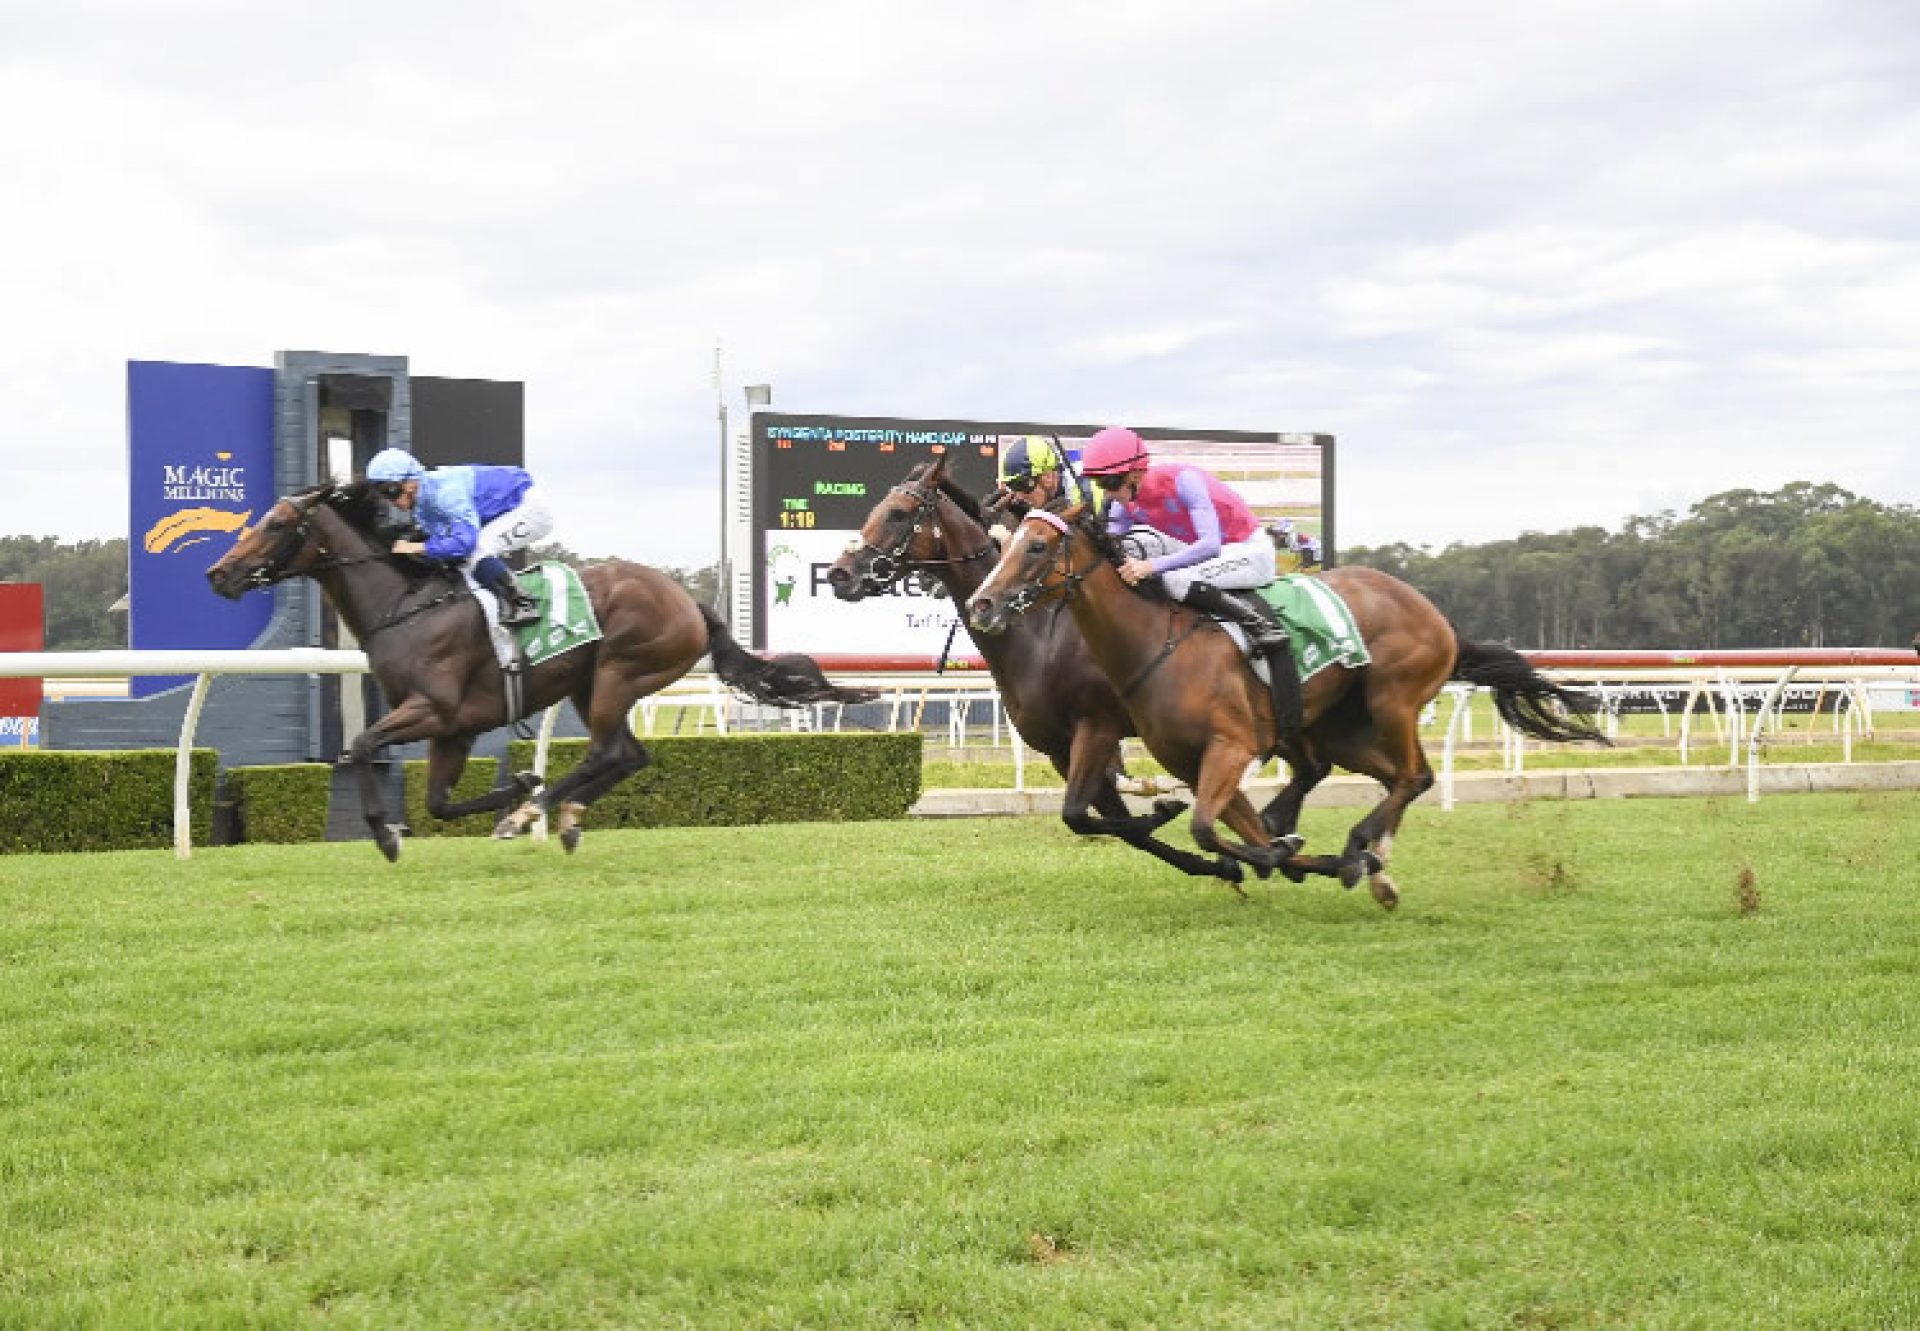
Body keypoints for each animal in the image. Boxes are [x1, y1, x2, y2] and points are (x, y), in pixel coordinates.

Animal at [206, 482, 875, 856]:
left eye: (277, 524)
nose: (219, 574)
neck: (407, 607)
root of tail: (689, 601)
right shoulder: (456, 729)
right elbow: (439, 804)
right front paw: (515, 787)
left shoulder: (434, 710)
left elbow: (363, 744)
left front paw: (387, 834)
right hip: (591, 685)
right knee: (629, 755)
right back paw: (563, 814)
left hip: (618, 672)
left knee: (608, 752)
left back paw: (535, 812)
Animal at [825, 457, 1228, 883]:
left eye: (898, 514)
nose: (839, 574)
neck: (1037, 636)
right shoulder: (1060, 748)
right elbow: (1104, 821)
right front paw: (1212, 860)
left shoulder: (1097, 728)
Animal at [967, 499, 1612, 902]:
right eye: (1008, 542)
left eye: (1037, 547)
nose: (981, 603)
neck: (1157, 643)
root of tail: (1436, 613)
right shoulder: (1191, 760)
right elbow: (1234, 831)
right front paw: (1286, 851)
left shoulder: (1227, 746)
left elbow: (1207, 829)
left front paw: (1281, 853)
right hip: (1340, 728)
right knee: (1389, 776)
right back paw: (1367, 863)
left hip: (1392, 699)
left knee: (1414, 775)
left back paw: (1361, 851)